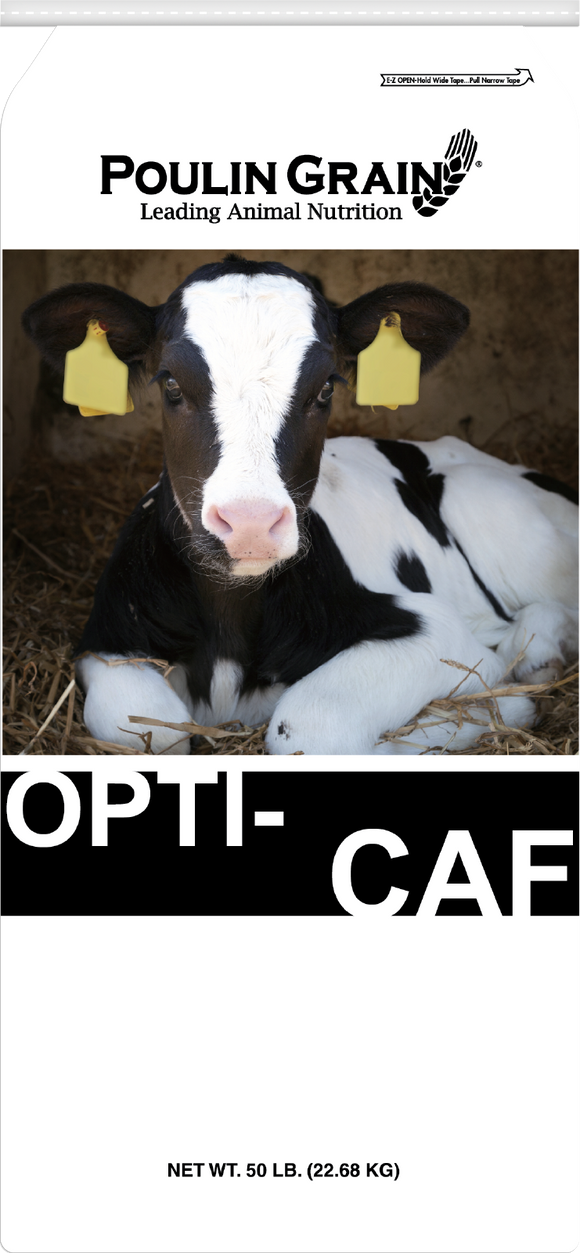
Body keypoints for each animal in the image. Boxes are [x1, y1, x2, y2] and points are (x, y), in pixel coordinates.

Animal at [22, 255, 578, 754]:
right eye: (171, 383)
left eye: (325, 387)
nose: (249, 523)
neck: (228, 634)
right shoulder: (108, 639)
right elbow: (148, 730)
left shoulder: (436, 632)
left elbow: (308, 728)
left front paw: (497, 709)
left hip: (490, 511)